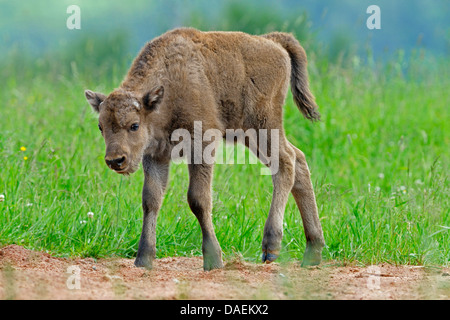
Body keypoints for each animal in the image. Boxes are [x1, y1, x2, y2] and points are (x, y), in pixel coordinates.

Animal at [84, 27, 324, 270]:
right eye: (101, 126)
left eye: (134, 125)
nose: (115, 160)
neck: (169, 88)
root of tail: (272, 41)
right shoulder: (156, 156)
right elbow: (151, 200)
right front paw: (143, 258)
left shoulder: (201, 146)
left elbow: (198, 199)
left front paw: (213, 259)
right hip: (249, 134)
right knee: (298, 160)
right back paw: (312, 252)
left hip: (263, 125)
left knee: (286, 162)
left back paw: (271, 246)